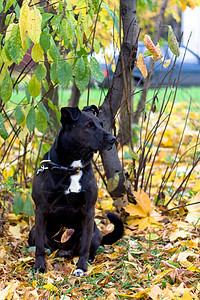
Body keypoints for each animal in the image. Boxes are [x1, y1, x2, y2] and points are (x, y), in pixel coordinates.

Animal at [28, 105, 123, 276]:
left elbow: (85, 246)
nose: (113, 139)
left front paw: (81, 267)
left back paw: (89, 258)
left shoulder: (89, 210)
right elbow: (39, 246)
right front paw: (39, 265)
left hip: (96, 233)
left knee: (88, 247)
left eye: (101, 124)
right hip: (33, 232)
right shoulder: (41, 209)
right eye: (89, 125)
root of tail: (63, 250)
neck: (72, 168)